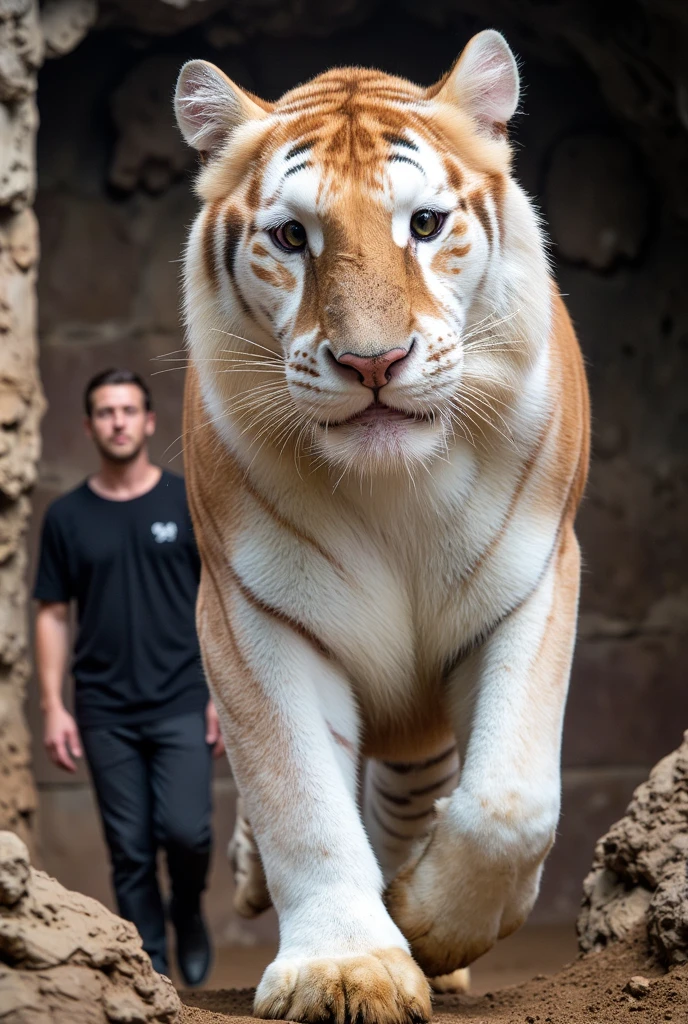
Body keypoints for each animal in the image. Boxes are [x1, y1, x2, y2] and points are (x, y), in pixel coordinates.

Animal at [175, 29, 589, 1024]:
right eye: (293, 236)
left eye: (426, 225)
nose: (373, 362)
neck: (397, 487)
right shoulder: (253, 614)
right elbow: (300, 803)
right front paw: (346, 966)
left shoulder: (536, 577)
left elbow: (511, 800)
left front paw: (433, 928)